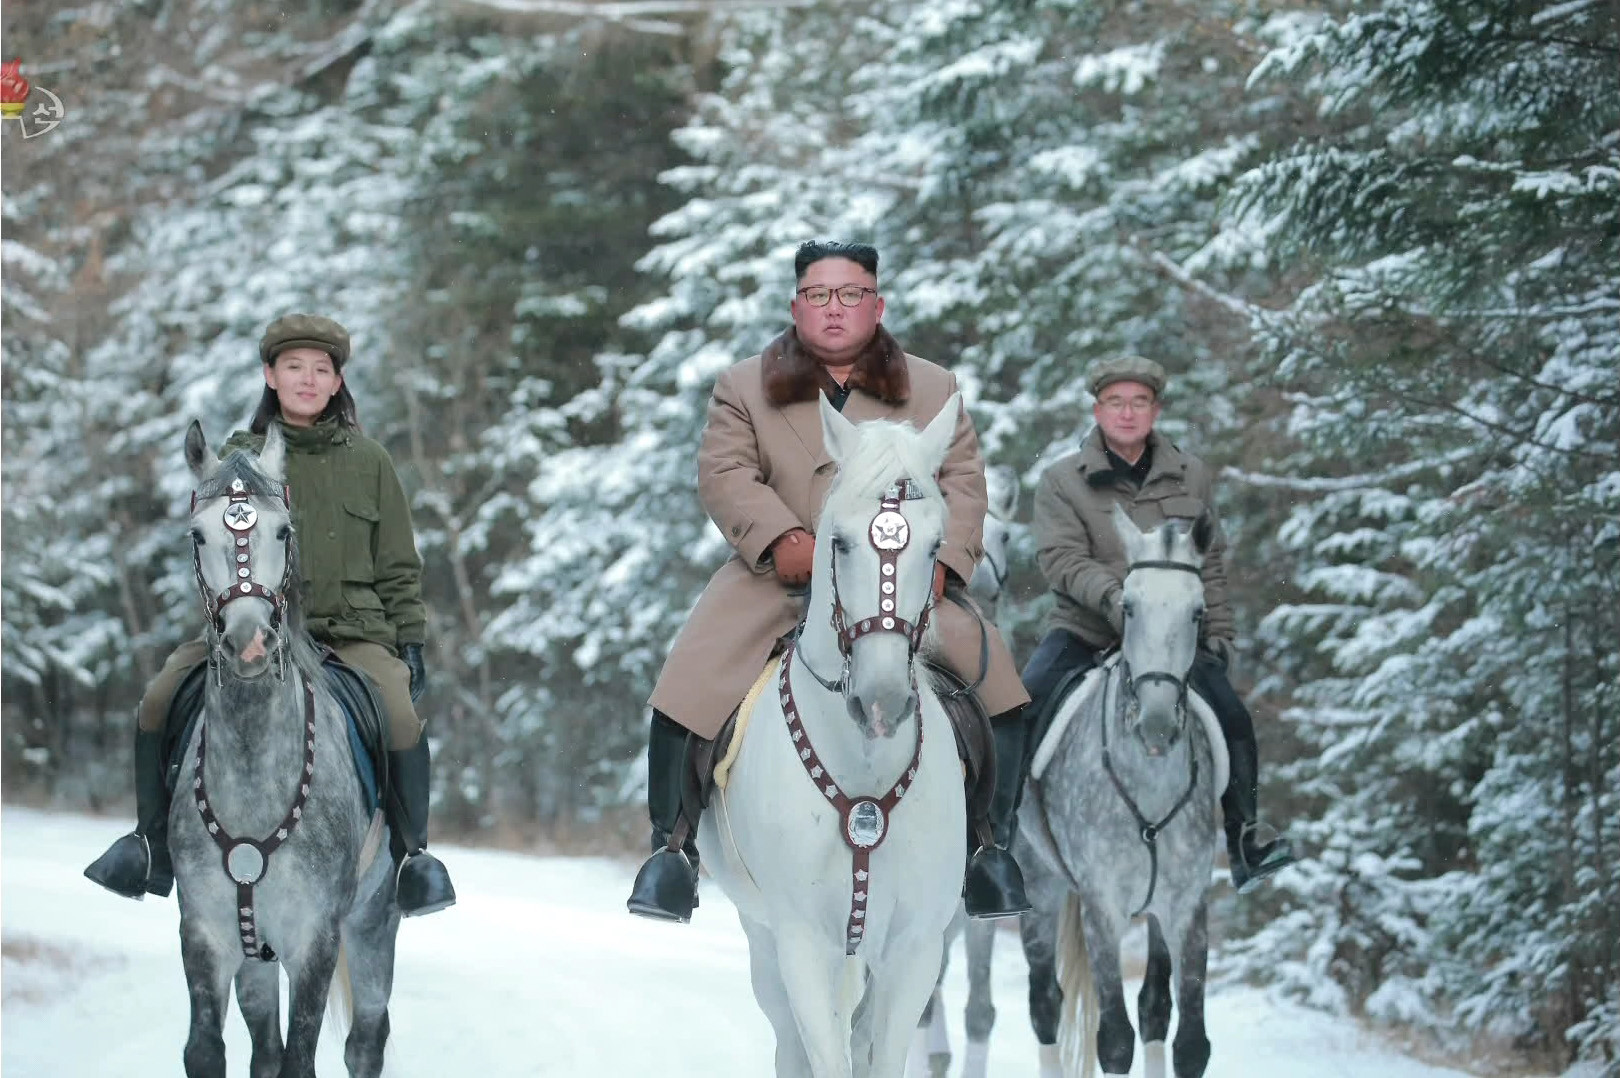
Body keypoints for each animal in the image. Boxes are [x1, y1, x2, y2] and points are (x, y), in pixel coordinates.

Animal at [170, 421, 398, 1076]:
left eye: (283, 531)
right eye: (197, 534)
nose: (249, 643)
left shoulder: (314, 941)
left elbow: (302, 1057)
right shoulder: (206, 935)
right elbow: (207, 1049)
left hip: (374, 922)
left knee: (366, 1041)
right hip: (254, 954)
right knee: (264, 1050)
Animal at [699, 395, 972, 1076]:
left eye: (936, 546)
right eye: (840, 543)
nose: (880, 701)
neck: (864, 771)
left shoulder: (915, 949)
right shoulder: (802, 943)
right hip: (764, 938)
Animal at [1017, 509, 1218, 1076]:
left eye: (1197, 613)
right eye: (1127, 607)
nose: (1156, 724)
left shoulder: (1185, 905)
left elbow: (1188, 1042)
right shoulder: (1102, 908)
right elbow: (1113, 1041)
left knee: (1153, 1007)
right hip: (1039, 890)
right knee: (1045, 1005)